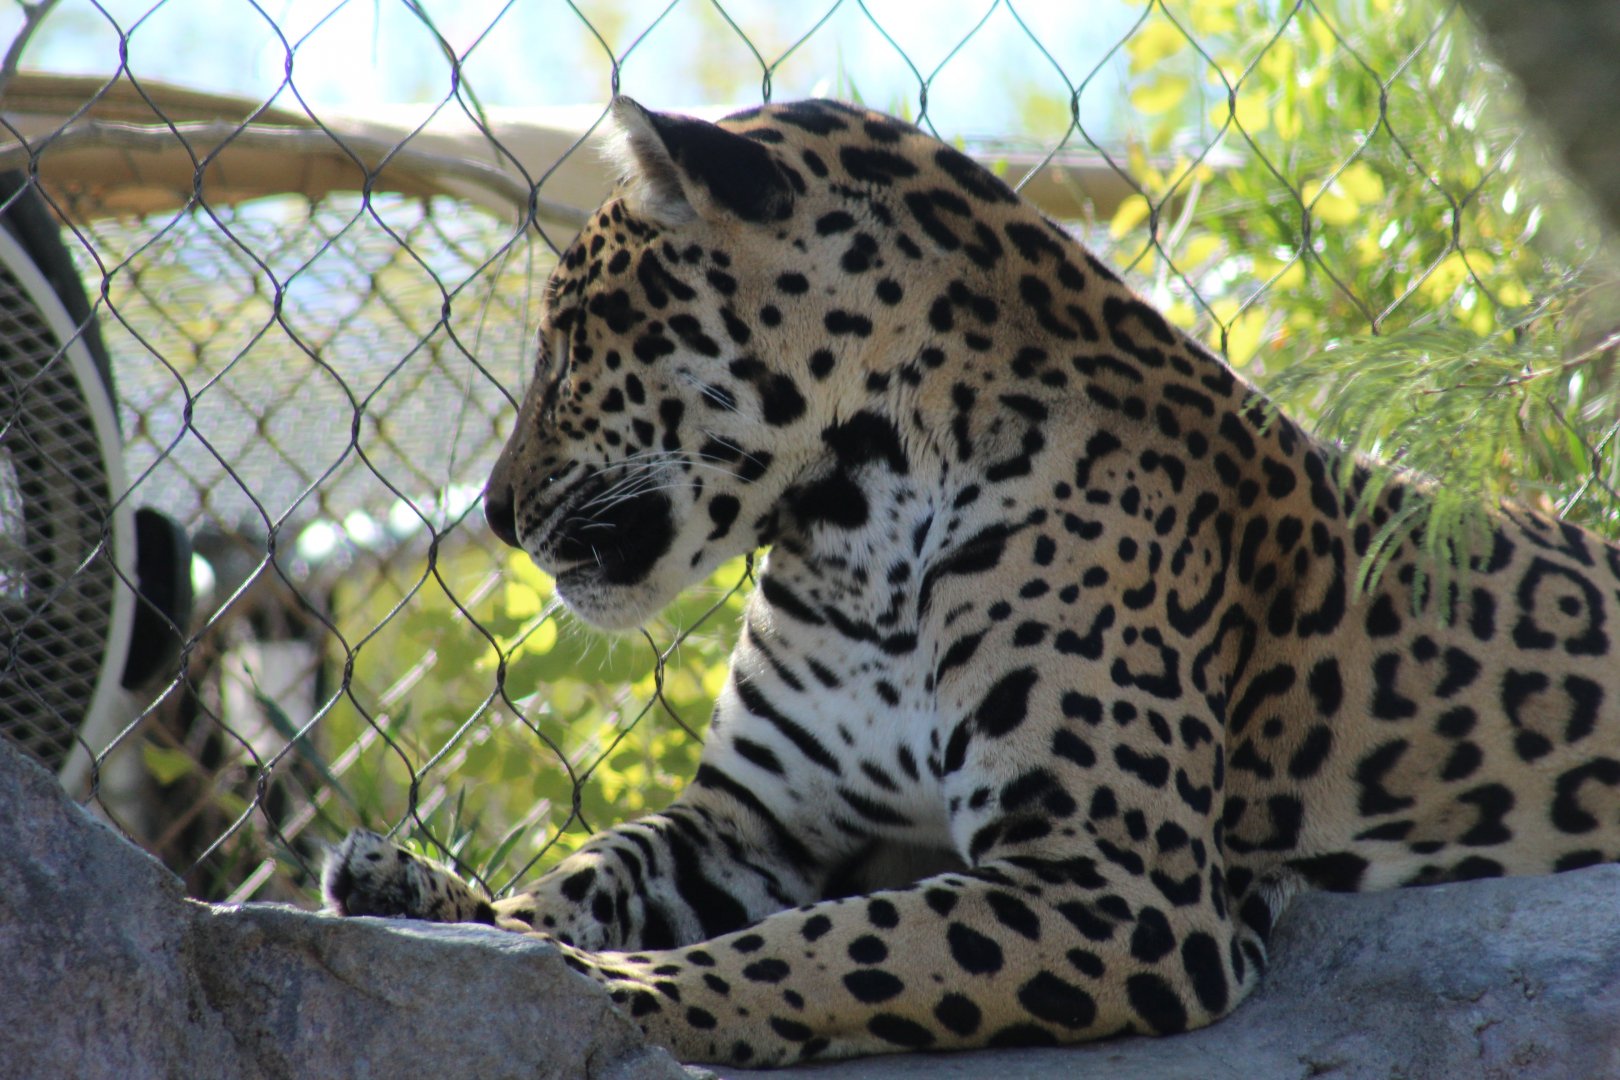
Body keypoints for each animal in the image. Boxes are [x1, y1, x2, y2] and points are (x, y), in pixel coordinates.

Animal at [323, 97, 1620, 1067]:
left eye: (574, 333)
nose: (493, 512)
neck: (858, 527)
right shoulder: (748, 822)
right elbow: (590, 871)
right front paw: (431, 896)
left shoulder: (1117, 883)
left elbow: (829, 949)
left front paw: (607, 989)